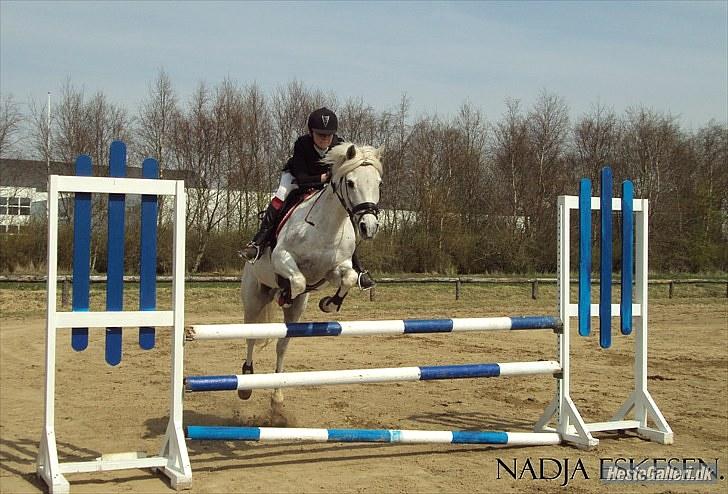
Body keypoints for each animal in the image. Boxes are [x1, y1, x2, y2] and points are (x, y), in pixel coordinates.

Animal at [239, 142, 383, 408]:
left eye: (378, 183)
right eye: (350, 183)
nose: (369, 227)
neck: (327, 225)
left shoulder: (333, 270)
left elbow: (347, 278)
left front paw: (329, 303)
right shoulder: (282, 257)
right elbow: (297, 280)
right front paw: (287, 292)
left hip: (296, 312)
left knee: (282, 345)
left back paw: (277, 394)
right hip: (253, 298)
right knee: (251, 336)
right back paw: (246, 381)